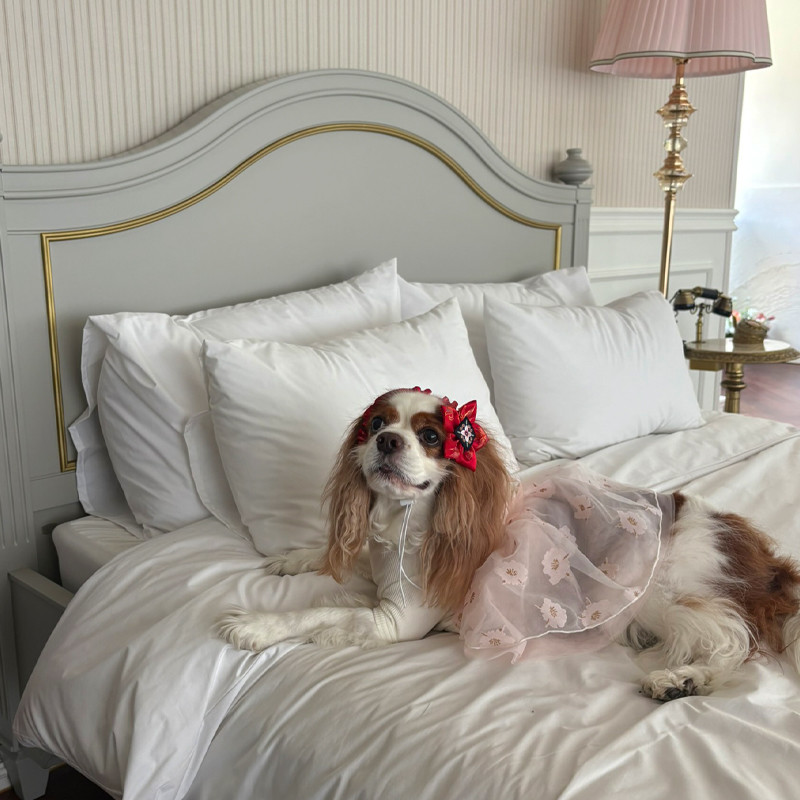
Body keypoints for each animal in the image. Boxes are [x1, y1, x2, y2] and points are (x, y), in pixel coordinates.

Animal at [218, 387, 800, 702]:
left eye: (430, 437)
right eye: (376, 423)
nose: (386, 440)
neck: (405, 522)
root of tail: (768, 563)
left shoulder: (395, 623)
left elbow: (318, 613)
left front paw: (256, 625)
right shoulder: (376, 568)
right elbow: (340, 561)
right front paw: (295, 558)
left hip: (662, 591)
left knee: (734, 641)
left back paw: (683, 678)